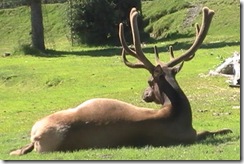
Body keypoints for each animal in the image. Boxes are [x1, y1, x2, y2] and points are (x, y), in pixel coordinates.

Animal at [9, 6, 231, 155]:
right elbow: (211, 130)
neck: (180, 116)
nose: (144, 95)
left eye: (149, 82)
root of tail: (35, 135)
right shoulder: (189, 135)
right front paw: (226, 128)